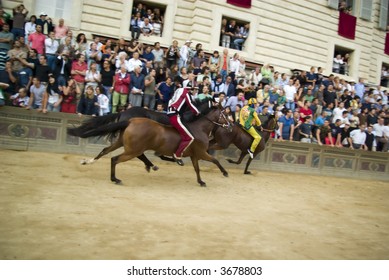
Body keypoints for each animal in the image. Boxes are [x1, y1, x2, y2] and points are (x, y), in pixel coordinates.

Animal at [68, 104, 232, 187]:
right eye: (225, 115)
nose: (230, 126)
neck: (199, 128)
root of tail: (130, 119)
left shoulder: (194, 155)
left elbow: (197, 168)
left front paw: (201, 181)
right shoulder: (201, 153)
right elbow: (215, 160)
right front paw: (225, 172)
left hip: (122, 143)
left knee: (105, 151)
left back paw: (87, 161)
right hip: (133, 150)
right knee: (115, 159)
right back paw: (117, 178)